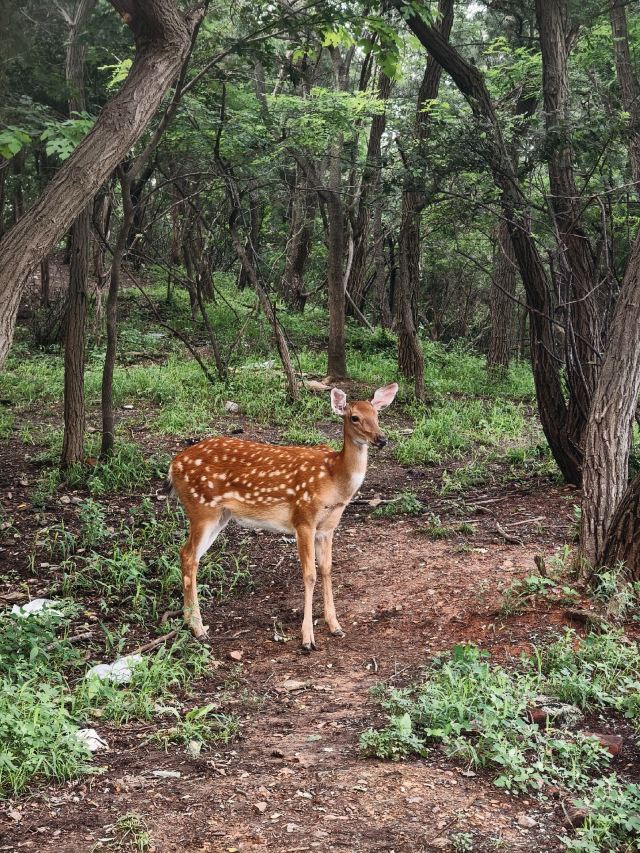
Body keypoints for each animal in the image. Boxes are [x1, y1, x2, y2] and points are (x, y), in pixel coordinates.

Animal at [168, 382, 398, 652]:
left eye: (377, 414)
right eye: (354, 417)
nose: (381, 439)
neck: (334, 480)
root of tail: (172, 466)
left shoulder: (328, 527)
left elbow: (327, 569)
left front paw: (335, 626)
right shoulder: (303, 518)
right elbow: (309, 574)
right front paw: (307, 639)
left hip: (220, 516)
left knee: (188, 555)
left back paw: (192, 624)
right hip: (201, 509)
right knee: (188, 555)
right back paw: (198, 629)